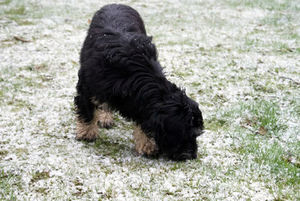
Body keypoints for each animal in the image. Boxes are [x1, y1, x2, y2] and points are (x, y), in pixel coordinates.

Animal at [74, 3, 204, 160]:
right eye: (187, 133)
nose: (192, 155)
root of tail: (117, 3)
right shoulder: (87, 87)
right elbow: (87, 111)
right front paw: (87, 133)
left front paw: (147, 146)